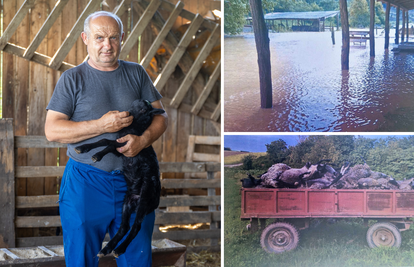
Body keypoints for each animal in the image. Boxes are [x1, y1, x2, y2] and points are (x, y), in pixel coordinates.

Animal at [74, 99, 165, 258]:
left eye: (144, 109)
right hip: (127, 202)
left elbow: (109, 145)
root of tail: (155, 202)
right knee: (124, 226)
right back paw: (106, 249)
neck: (134, 127)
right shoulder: (119, 143)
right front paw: (83, 148)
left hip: (145, 199)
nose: (139, 100)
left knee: (135, 227)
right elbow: (104, 140)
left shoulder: (124, 144)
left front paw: (97, 155)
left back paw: (119, 249)